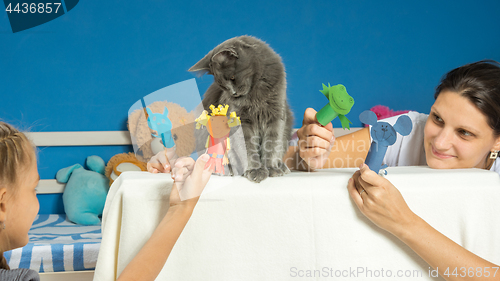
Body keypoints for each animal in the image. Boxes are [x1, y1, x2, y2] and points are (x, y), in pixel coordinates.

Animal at [188, 35, 292, 183]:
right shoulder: (240, 121)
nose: (233, 93)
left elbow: (272, 143)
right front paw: (255, 170)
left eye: (232, 77)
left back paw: (281, 166)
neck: (255, 93)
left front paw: (271, 168)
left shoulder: (276, 115)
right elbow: (247, 147)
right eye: (222, 86)